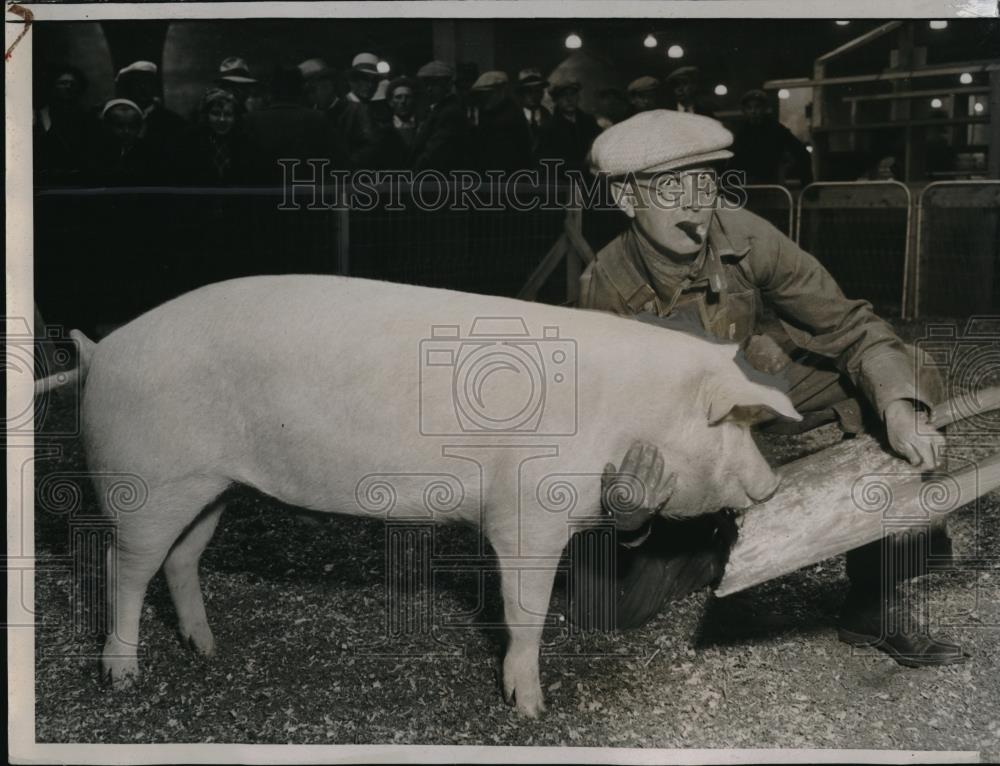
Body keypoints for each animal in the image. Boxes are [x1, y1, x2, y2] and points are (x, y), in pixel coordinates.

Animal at [58, 278, 800, 720]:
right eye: (733, 422)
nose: (772, 485)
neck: (634, 411)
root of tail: (100, 350)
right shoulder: (528, 512)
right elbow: (526, 613)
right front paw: (530, 710)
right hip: (144, 483)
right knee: (123, 570)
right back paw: (123, 678)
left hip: (210, 486)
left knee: (180, 561)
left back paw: (210, 650)